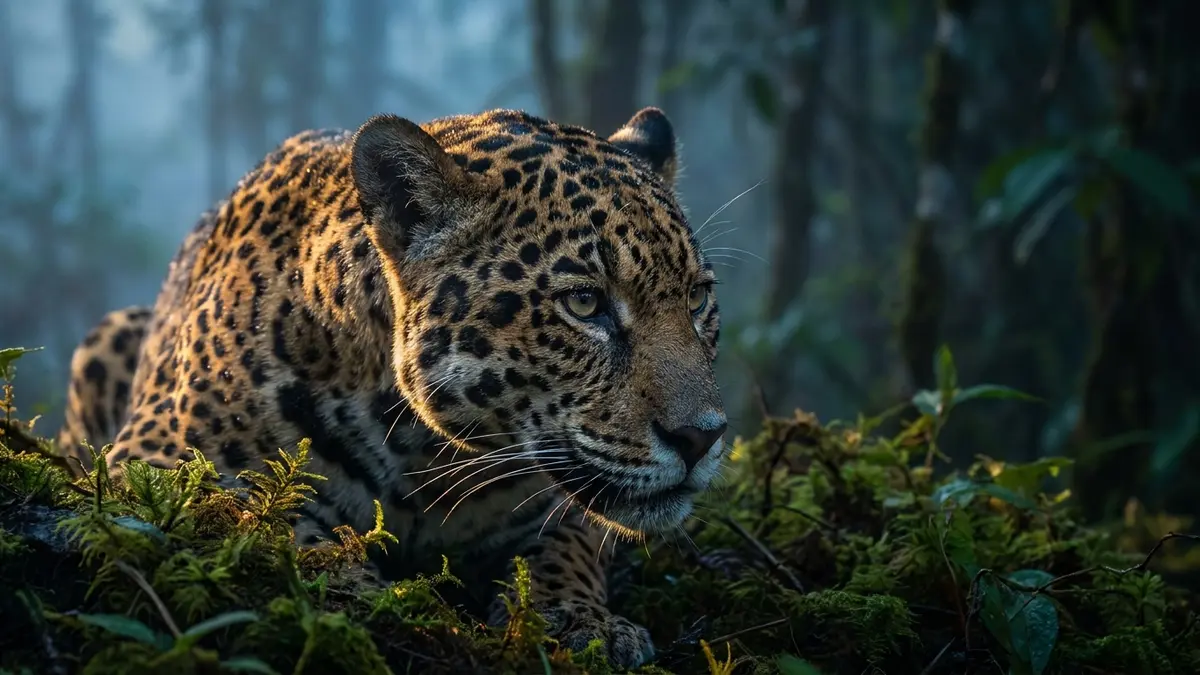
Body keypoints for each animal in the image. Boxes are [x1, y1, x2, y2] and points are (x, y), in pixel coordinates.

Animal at [56, 106, 728, 669]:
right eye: (585, 303)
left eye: (698, 298)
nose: (703, 438)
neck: (425, 460)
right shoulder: (157, 463)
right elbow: (276, 525)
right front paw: (368, 592)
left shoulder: (557, 506)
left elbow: (567, 546)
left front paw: (580, 621)